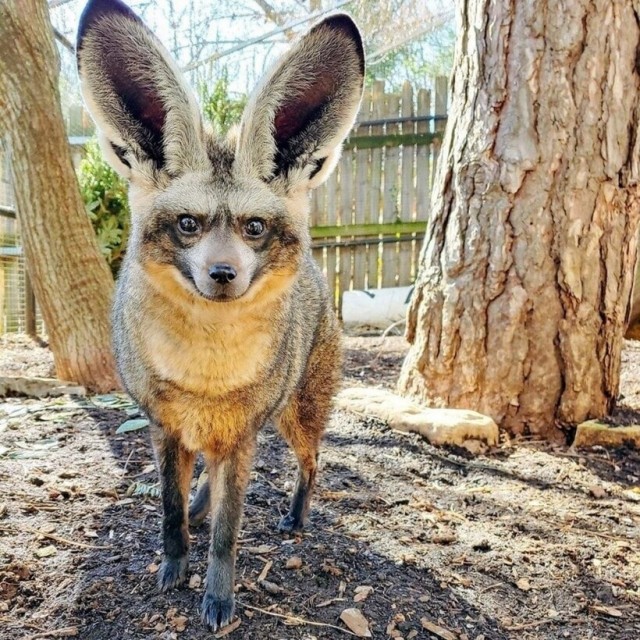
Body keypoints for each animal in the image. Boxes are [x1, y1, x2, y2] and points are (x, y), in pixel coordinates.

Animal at [76, 0, 364, 631]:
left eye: (253, 228)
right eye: (189, 224)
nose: (224, 275)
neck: (205, 375)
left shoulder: (240, 437)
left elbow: (228, 536)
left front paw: (219, 598)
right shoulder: (165, 429)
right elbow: (169, 513)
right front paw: (173, 568)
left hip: (295, 419)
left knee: (313, 465)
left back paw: (296, 516)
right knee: (207, 482)